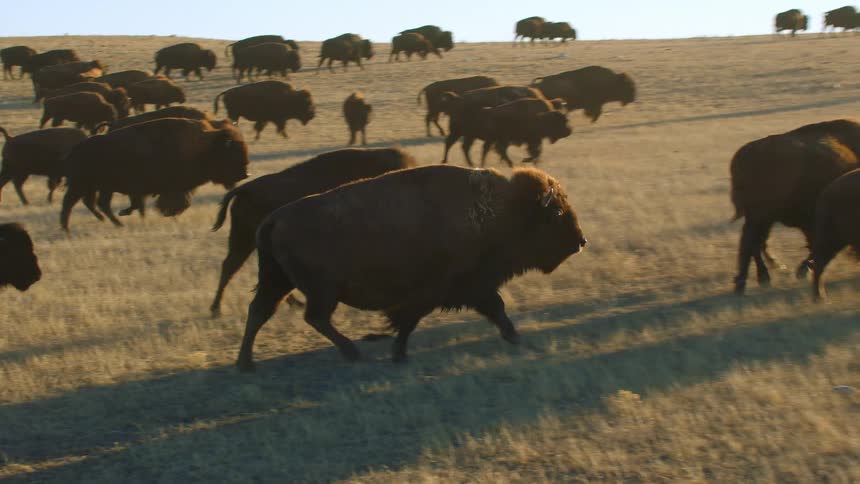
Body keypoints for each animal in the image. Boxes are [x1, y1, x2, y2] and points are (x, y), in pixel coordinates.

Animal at [60, 118, 249, 231]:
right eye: (232, 154)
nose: (245, 174)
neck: (207, 146)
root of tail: (76, 149)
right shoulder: (165, 188)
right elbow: (169, 202)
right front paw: (166, 214)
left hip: (99, 187)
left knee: (98, 203)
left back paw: (114, 223)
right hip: (82, 184)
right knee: (71, 203)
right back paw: (67, 228)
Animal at [236, 165, 586, 370]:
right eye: (556, 213)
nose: (581, 241)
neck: (499, 211)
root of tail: (274, 219)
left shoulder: (472, 287)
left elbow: (495, 308)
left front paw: (514, 337)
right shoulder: (439, 290)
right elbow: (410, 321)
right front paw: (399, 354)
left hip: (277, 281)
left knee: (259, 312)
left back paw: (246, 363)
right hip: (321, 290)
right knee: (313, 317)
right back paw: (352, 352)